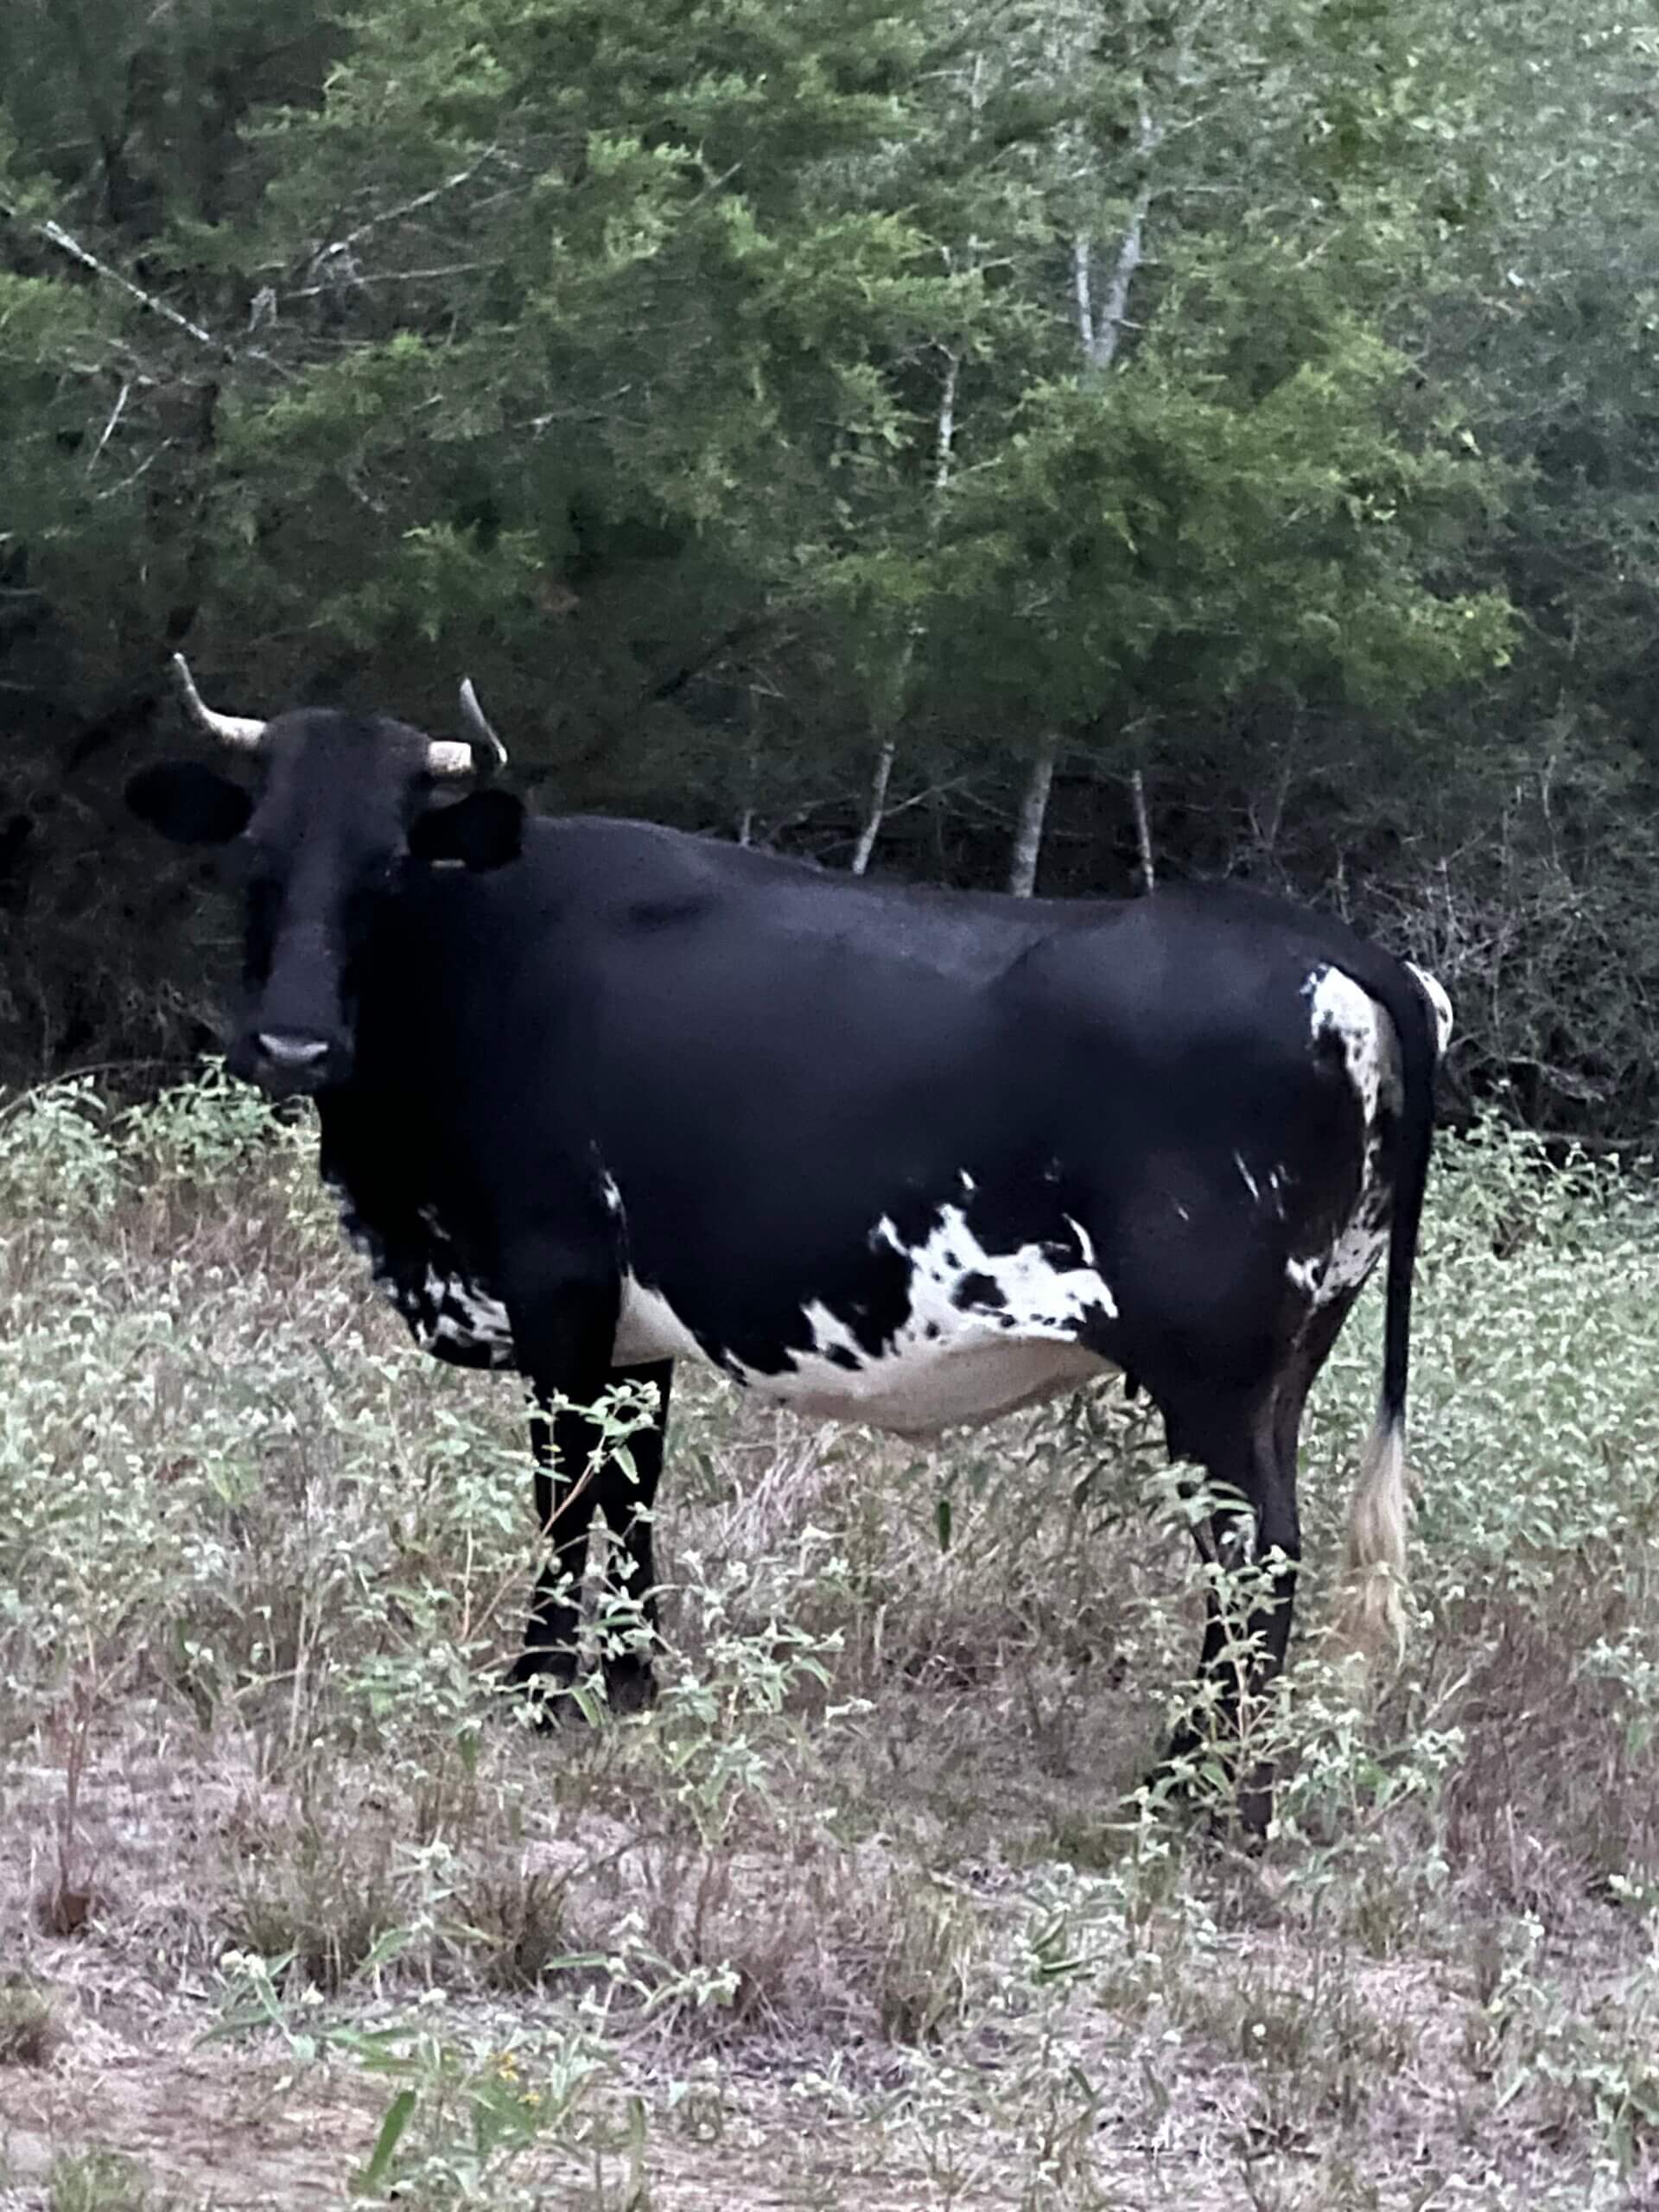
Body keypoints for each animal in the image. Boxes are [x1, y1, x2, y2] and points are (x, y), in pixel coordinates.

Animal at [127, 657, 1451, 1825]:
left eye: (394, 867)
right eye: (255, 854)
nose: (293, 1044)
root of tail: (1330, 947)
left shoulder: (555, 1279)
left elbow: (566, 1495)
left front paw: (537, 1693)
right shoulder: (632, 1324)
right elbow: (635, 1488)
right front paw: (627, 1684)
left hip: (1209, 1372)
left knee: (1255, 1554)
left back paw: (1190, 1801)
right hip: (1292, 1355)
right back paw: (1226, 1790)